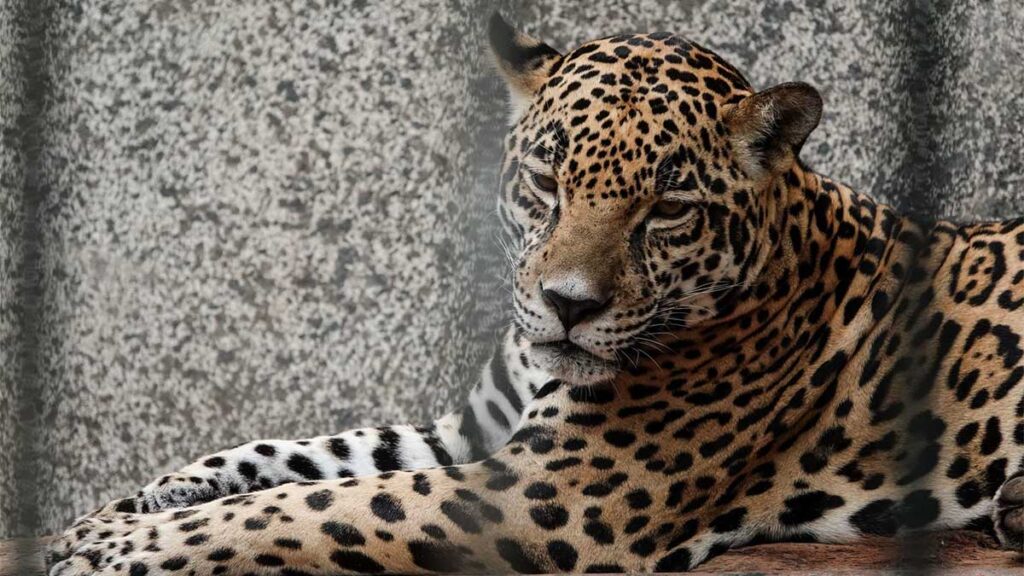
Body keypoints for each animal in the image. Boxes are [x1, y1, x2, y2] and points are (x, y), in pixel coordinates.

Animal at [47, 13, 1024, 575]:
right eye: (546, 184)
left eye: (669, 208)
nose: (568, 305)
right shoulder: (469, 431)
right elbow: (296, 454)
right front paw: (120, 507)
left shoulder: (547, 489)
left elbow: (307, 504)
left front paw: (109, 547)